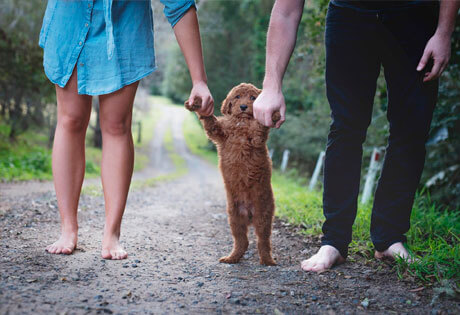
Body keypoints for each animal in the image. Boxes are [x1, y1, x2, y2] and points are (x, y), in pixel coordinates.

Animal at [184, 84, 278, 266]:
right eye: (237, 97)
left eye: (253, 98)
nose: (243, 107)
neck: (241, 121)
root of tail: (249, 213)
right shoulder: (219, 132)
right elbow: (210, 120)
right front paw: (198, 104)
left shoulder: (255, 139)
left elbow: (259, 127)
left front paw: (272, 114)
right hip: (234, 217)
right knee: (242, 240)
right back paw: (231, 258)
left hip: (263, 215)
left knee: (263, 240)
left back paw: (267, 260)